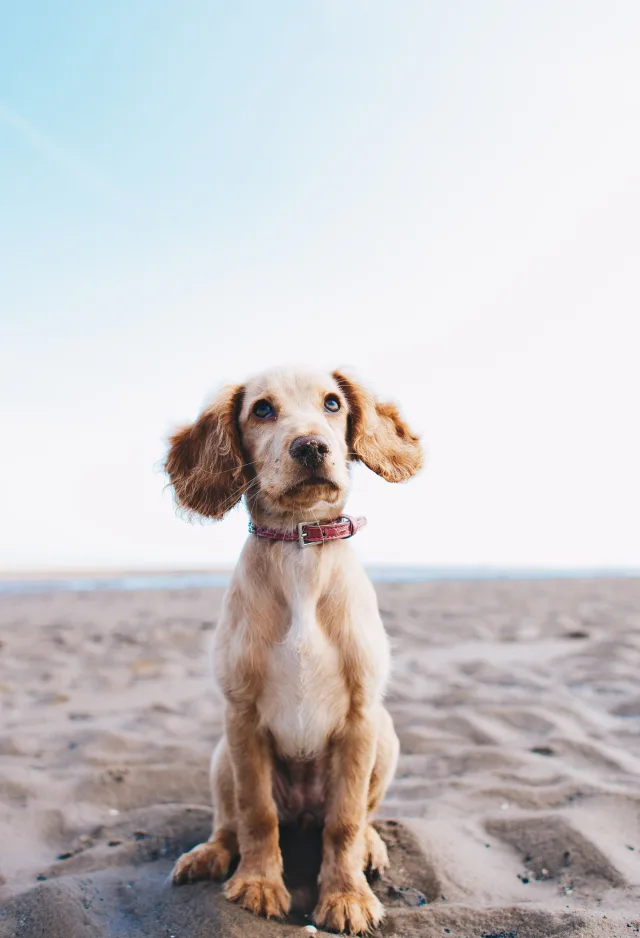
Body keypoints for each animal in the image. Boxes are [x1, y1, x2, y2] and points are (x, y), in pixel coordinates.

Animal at [168, 370, 422, 932]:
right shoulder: (241, 716)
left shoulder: (361, 717)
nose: (311, 447)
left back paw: (370, 847)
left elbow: (344, 821)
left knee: (359, 816)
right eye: (262, 410)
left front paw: (346, 896)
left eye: (332, 404)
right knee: (230, 821)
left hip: (387, 736)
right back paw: (209, 853)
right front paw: (258, 883)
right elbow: (256, 812)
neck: (298, 548)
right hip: (222, 755)